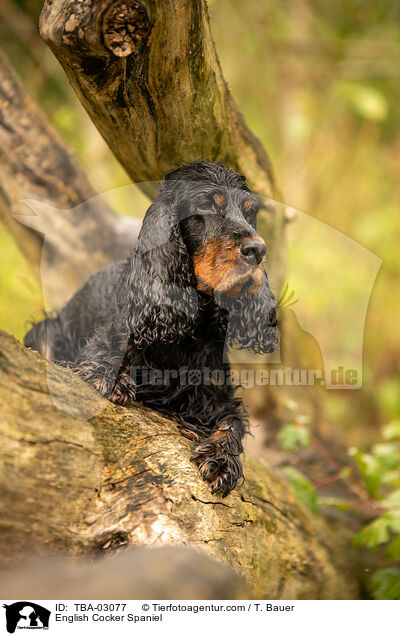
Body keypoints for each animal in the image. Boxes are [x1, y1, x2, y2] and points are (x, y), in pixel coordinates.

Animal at [25, 160, 278, 496]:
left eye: (250, 212)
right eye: (206, 205)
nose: (258, 250)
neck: (188, 326)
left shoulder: (215, 394)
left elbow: (231, 422)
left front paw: (222, 460)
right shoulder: (105, 343)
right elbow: (102, 360)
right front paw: (113, 378)